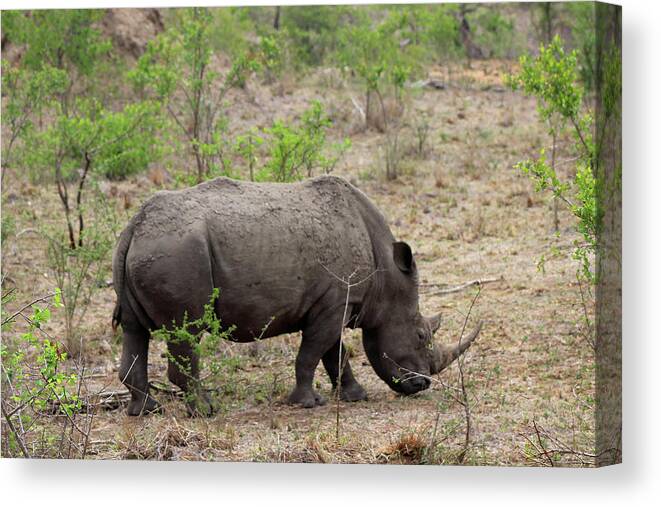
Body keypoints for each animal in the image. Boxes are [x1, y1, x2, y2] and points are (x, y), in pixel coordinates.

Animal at [109, 176, 480, 416]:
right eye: (420, 335)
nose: (421, 385)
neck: (386, 279)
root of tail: (134, 227)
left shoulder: (338, 303)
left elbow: (335, 354)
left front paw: (355, 396)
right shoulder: (333, 303)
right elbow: (312, 354)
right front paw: (308, 404)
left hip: (152, 250)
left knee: (134, 329)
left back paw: (145, 411)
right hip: (177, 254)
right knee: (186, 331)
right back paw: (205, 411)